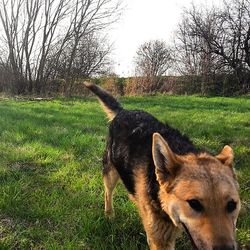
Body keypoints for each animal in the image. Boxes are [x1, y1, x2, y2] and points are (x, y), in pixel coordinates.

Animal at [83, 83, 240, 250]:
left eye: (232, 205)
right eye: (194, 204)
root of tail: (123, 111)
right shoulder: (161, 239)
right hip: (110, 173)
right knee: (108, 193)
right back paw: (109, 215)